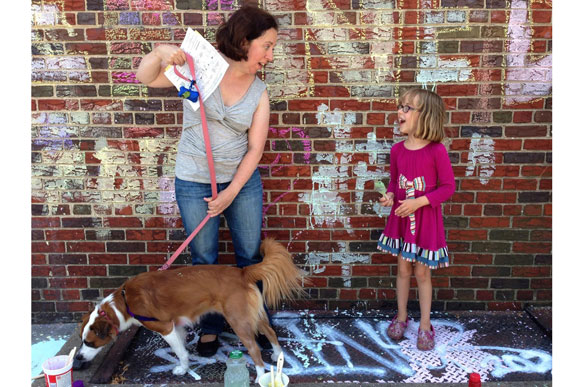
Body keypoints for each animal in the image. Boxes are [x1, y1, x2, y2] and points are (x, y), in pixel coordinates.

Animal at [76, 239, 306, 382]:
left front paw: (182, 369)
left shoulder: (165, 327)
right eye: (82, 340)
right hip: (253, 316)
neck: (124, 302)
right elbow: (183, 350)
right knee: (271, 332)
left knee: (255, 350)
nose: (78, 359)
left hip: (238, 320)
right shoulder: (176, 326)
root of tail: (242, 272)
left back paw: (259, 376)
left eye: (90, 342)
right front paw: (185, 366)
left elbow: (180, 352)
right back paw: (278, 354)